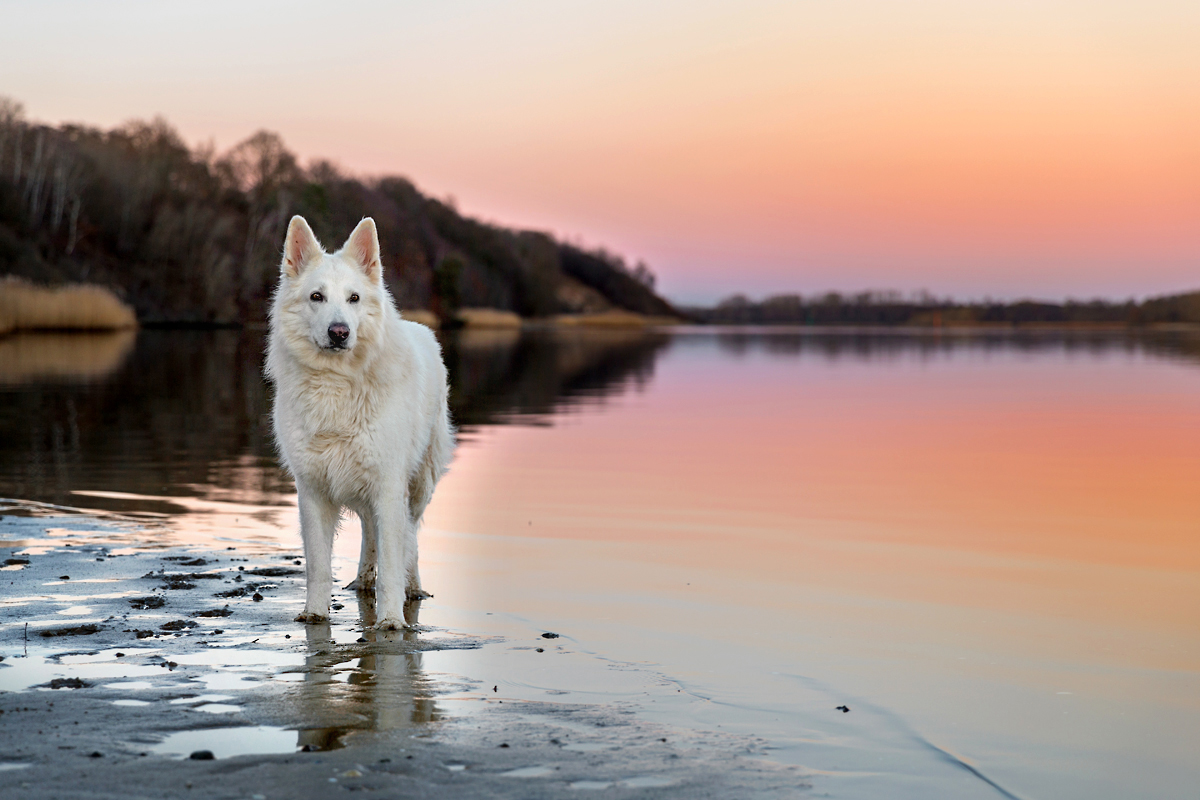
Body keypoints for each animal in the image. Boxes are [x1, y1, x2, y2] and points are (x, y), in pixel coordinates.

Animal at [267, 215, 453, 628]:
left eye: (353, 298)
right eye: (316, 297)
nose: (339, 332)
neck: (336, 386)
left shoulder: (388, 485)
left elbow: (394, 560)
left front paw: (391, 621)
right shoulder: (313, 491)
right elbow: (318, 565)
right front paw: (315, 613)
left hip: (417, 487)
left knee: (410, 539)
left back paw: (412, 589)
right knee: (371, 533)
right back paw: (363, 580)